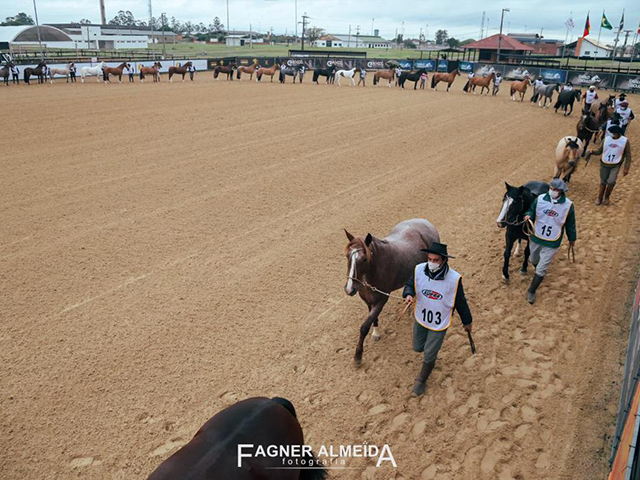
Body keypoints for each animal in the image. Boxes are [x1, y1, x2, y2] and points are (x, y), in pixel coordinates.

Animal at [344, 219, 440, 366]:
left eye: (364, 259)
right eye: (347, 256)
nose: (349, 289)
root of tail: (425, 222)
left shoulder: (381, 300)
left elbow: (364, 326)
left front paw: (358, 356)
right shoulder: (367, 299)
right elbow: (373, 318)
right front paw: (376, 333)